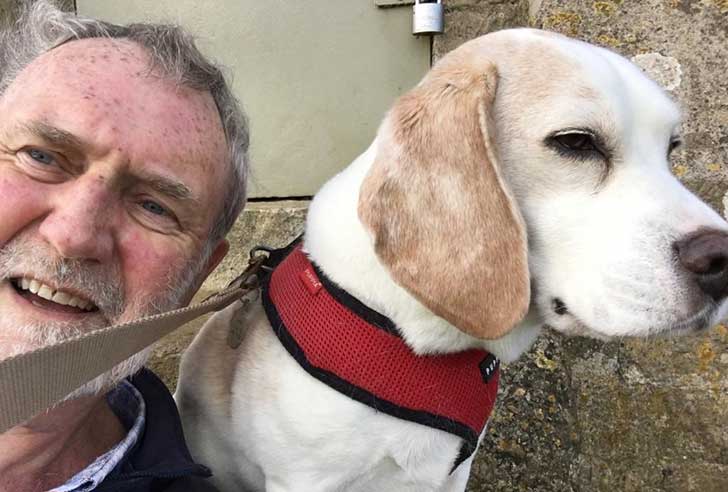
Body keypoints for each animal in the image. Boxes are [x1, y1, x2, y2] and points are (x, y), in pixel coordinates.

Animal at [175, 29, 728, 492]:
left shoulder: (451, 474)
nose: (722, 258)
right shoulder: (308, 480)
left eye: (672, 149)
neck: (420, 338)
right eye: (575, 142)